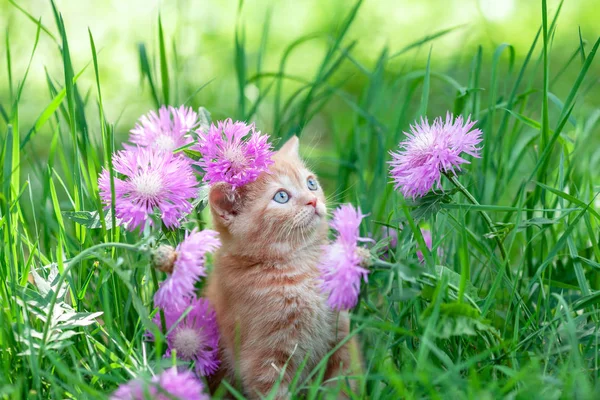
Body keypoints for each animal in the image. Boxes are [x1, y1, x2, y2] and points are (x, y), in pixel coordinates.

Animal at [204, 136, 358, 398]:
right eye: (282, 197)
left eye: (311, 183)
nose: (313, 200)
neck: (302, 266)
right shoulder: (265, 362)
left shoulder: (340, 340)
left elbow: (342, 387)